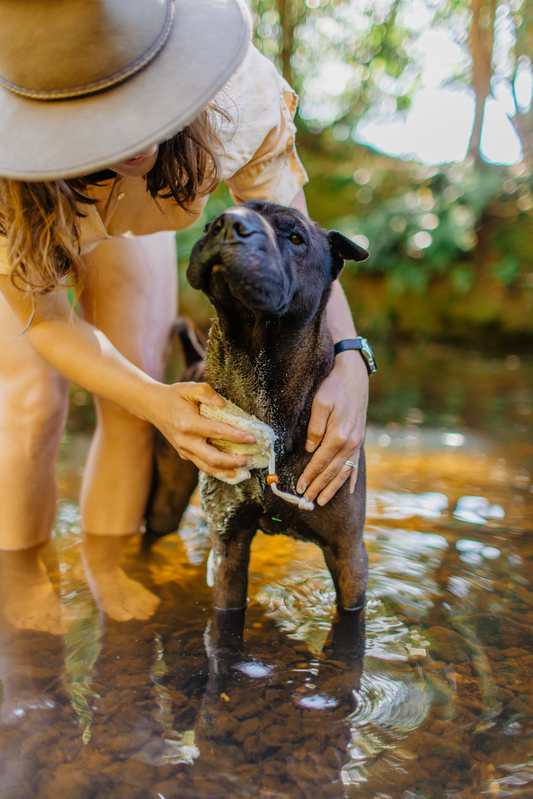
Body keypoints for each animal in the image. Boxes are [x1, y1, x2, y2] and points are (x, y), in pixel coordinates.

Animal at [145, 202, 370, 612]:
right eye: (209, 222)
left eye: (295, 236)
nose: (227, 224)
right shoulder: (228, 544)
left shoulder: (348, 554)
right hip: (166, 500)